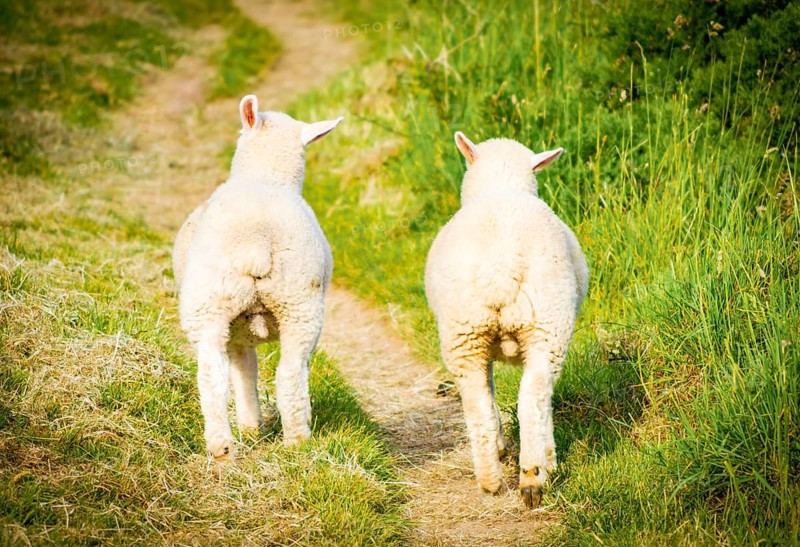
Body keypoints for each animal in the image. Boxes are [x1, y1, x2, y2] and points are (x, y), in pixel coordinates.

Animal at [173, 94, 343, 459]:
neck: (265, 178)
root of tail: (256, 242)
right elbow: (247, 372)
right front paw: (255, 428)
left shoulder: (236, 335)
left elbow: (243, 373)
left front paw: (251, 427)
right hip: (294, 302)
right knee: (285, 373)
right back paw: (290, 441)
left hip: (212, 304)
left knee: (219, 377)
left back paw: (230, 445)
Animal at [425, 131, 588, 509]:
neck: (501, 187)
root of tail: (501, 266)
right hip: (542, 325)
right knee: (533, 399)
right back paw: (532, 474)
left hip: (469, 333)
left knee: (485, 406)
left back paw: (500, 479)